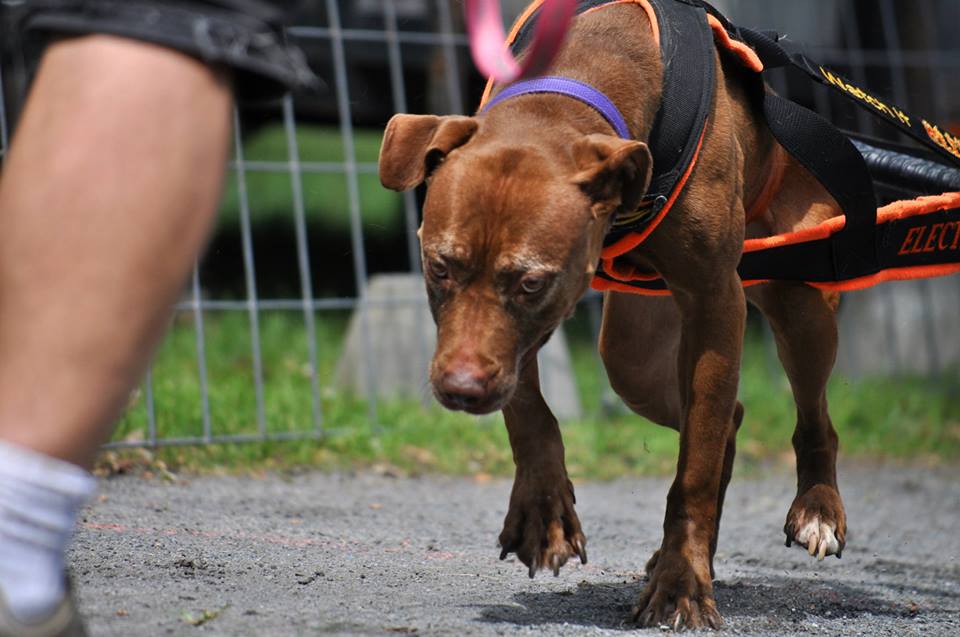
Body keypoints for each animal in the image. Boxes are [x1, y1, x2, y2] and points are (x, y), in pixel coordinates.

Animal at [378, 1, 844, 628]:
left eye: (530, 282)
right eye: (440, 267)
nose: (460, 389)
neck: (568, 86)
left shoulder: (715, 301)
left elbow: (693, 470)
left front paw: (681, 583)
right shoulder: (517, 339)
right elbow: (528, 409)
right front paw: (543, 514)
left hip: (800, 298)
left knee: (809, 417)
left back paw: (816, 509)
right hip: (634, 354)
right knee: (720, 415)